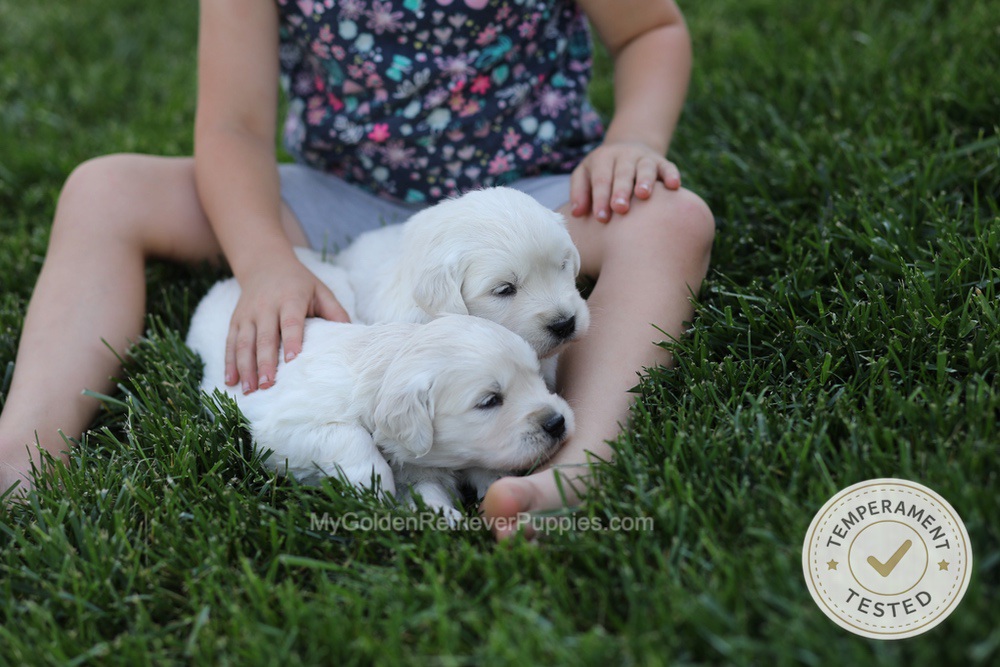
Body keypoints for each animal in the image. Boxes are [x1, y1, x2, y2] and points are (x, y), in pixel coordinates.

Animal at [186, 267, 573, 518]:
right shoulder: (284, 429)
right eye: (490, 401)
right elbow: (352, 439)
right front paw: (373, 488)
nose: (557, 423)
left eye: (538, 378)